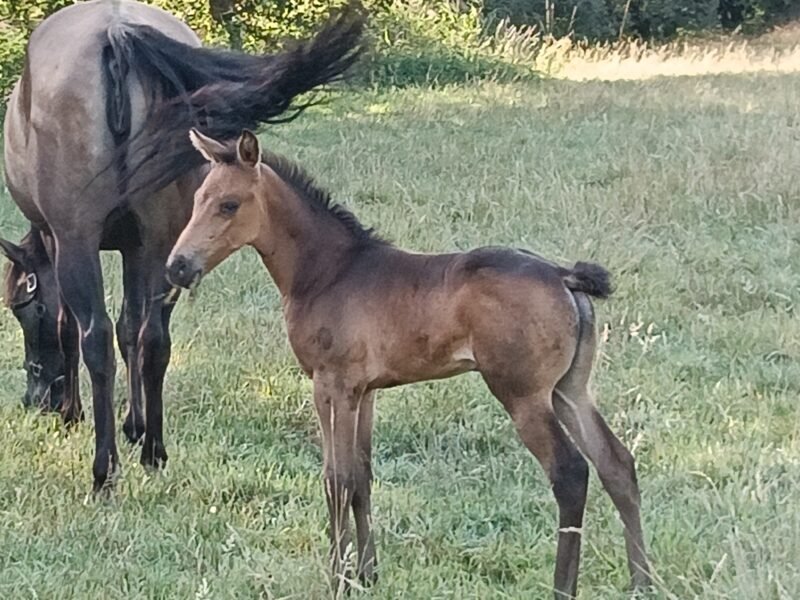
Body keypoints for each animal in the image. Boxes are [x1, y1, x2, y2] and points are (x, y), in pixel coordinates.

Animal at [1, 0, 366, 492]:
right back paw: (154, 451)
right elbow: (131, 329)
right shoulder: (141, 248)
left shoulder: (57, 241)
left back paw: (105, 470)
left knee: (95, 337)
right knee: (154, 338)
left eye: (24, 308)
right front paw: (136, 426)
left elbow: (72, 328)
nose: (34, 398)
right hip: (164, 244)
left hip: (81, 240)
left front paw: (73, 413)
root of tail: (116, 34)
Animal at [164, 129, 653, 598]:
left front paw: (337, 579)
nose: (177, 267)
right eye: (198, 198)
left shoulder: (331, 385)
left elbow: (336, 480)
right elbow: (362, 478)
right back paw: (642, 582)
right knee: (616, 464)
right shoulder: (366, 391)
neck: (328, 273)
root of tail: (563, 276)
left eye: (229, 204)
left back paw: (563, 587)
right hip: (569, 389)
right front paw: (368, 574)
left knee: (570, 472)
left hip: (524, 395)